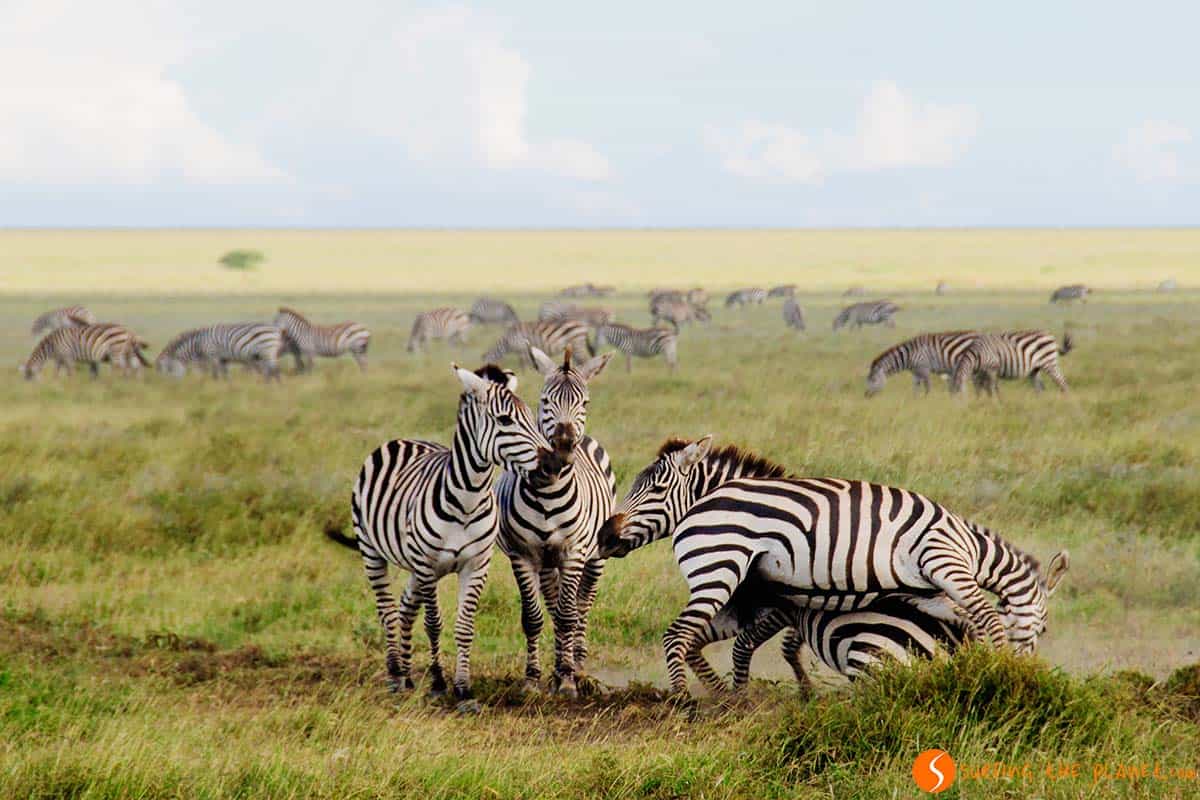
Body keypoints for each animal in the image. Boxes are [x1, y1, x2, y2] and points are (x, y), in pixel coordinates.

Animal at [20, 323, 148, 380]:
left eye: (29, 376)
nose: (30, 391)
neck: (51, 346)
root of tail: (128, 331)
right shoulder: (60, 358)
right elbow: (56, 372)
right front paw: (55, 382)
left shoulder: (67, 354)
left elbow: (70, 371)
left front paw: (72, 383)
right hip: (127, 352)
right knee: (135, 366)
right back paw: (133, 381)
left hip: (116, 350)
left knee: (118, 367)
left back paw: (113, 382)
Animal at [326, 364, 558, 704]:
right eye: (505, 420)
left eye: (531, 416)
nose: (553, 466)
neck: (467, 500)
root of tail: (403, 440)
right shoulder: (428, 564)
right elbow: (434, 624)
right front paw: (437, 683)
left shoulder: (476, 565)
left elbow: (465, 626)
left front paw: (463, 689)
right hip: (372, 551)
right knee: (387, 610)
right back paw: (395, 674)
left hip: (413, 564)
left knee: (405, 608)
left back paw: (407, 676)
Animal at [495, 347, 616, 696]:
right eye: (545, 400)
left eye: (584, 403)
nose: (562, 447)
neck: (548, 493)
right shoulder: (522, 554)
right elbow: (533, 618)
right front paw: (533, 679)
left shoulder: (574, 552)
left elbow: (567, 616)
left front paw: (567, 681)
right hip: (547, 562)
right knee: (553, 603)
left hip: (595, 557)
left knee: (581, 606)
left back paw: (578, 666)